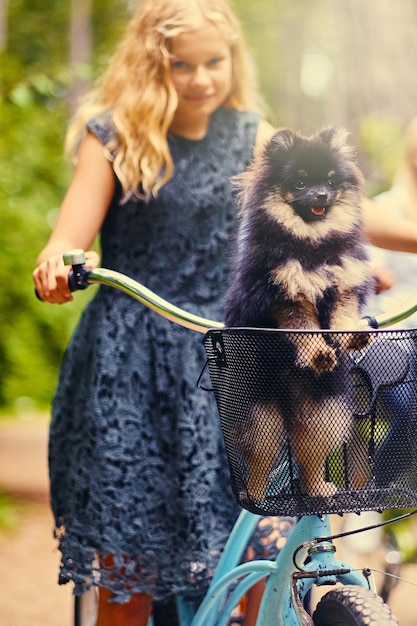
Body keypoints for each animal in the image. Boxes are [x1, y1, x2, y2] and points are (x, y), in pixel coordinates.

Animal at [224, 127, 374, 502]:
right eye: (301, 182)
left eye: (331, 181)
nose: (321, 193)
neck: (312, 246)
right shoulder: (286, 294)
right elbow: (303, 327)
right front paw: (318, 351)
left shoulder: (342, 284)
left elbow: (342, 317)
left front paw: (353, 334)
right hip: (261, 414)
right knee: (260, 460)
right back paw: (255, 494)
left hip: (323, 411)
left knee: (310, 456)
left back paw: (318, 488)